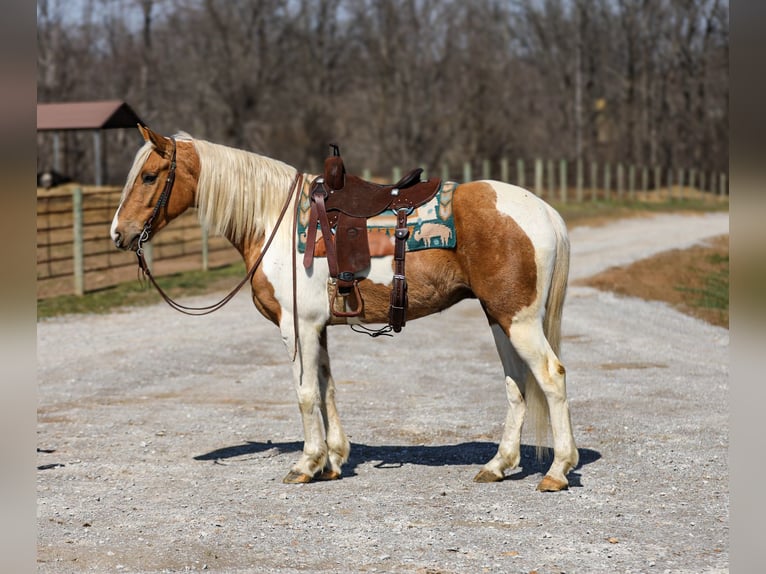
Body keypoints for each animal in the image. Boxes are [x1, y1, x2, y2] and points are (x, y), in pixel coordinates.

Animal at [110, 125, 578, 491]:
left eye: (149, 176)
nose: (118, 233)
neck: (274, 220)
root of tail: (544, 211)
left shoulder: (296, 326)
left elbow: (304, 393)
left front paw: (306, 464)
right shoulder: (318, 328)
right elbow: (326, 389)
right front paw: (333, 460)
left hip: (518, 321)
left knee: (551, 376)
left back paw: (557, 471)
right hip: (499, 318)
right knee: (517, 385)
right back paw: (498, 465)